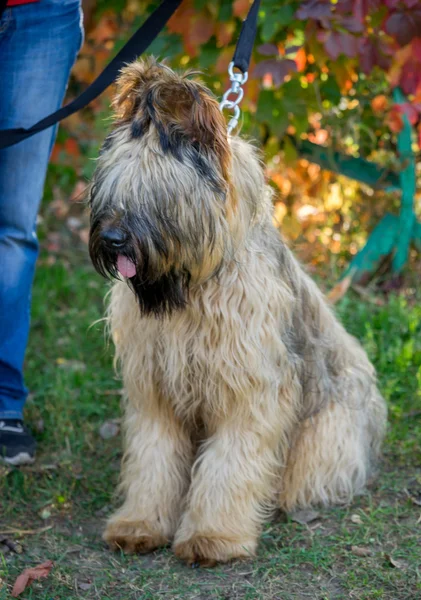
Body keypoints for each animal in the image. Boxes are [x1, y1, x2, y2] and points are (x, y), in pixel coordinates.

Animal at [88, 58, 388, 564]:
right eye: (111, 185)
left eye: (158, 192)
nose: (111, 240)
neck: (192, 286)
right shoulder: (155, 388)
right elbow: (153, 457)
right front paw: (140, 523)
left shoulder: (249, 388)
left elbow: (231, 463)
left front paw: (214, 536)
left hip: (328, 429)